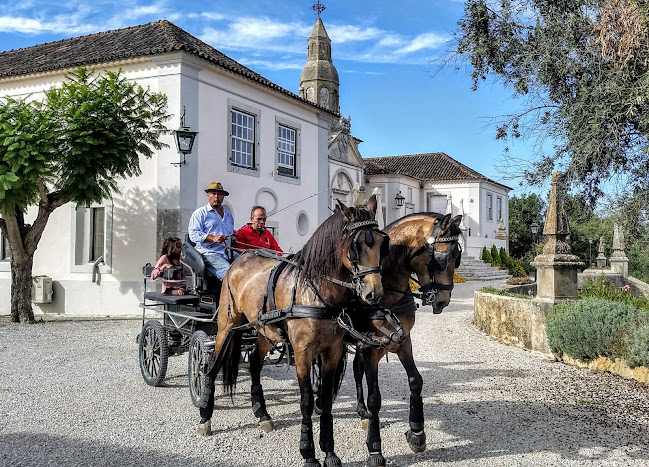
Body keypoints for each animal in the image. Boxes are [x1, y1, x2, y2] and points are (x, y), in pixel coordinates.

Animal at [196, 197, 390, 467]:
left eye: (382, 244)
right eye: (355, 246)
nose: (374, 293)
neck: (317, 290)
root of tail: (240, 258)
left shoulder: (332, 351)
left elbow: (326, 400)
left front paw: (330, 452)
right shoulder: (302, 353)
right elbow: (306, 401)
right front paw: (308, 453)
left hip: (264, 330)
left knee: (254, 362)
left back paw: (262, 413)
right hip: (227, 324)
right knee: (213, 365)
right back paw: (205, 416)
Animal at [350, 214, 460, 467]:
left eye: (457, 257)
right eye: (442, 259)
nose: (444, 300)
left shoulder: (403, 341)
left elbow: (415, 381)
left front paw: (417, 432)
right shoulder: (370, 349)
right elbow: (375, 398)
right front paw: (375, 448)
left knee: (355, 369)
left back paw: (361, 411)